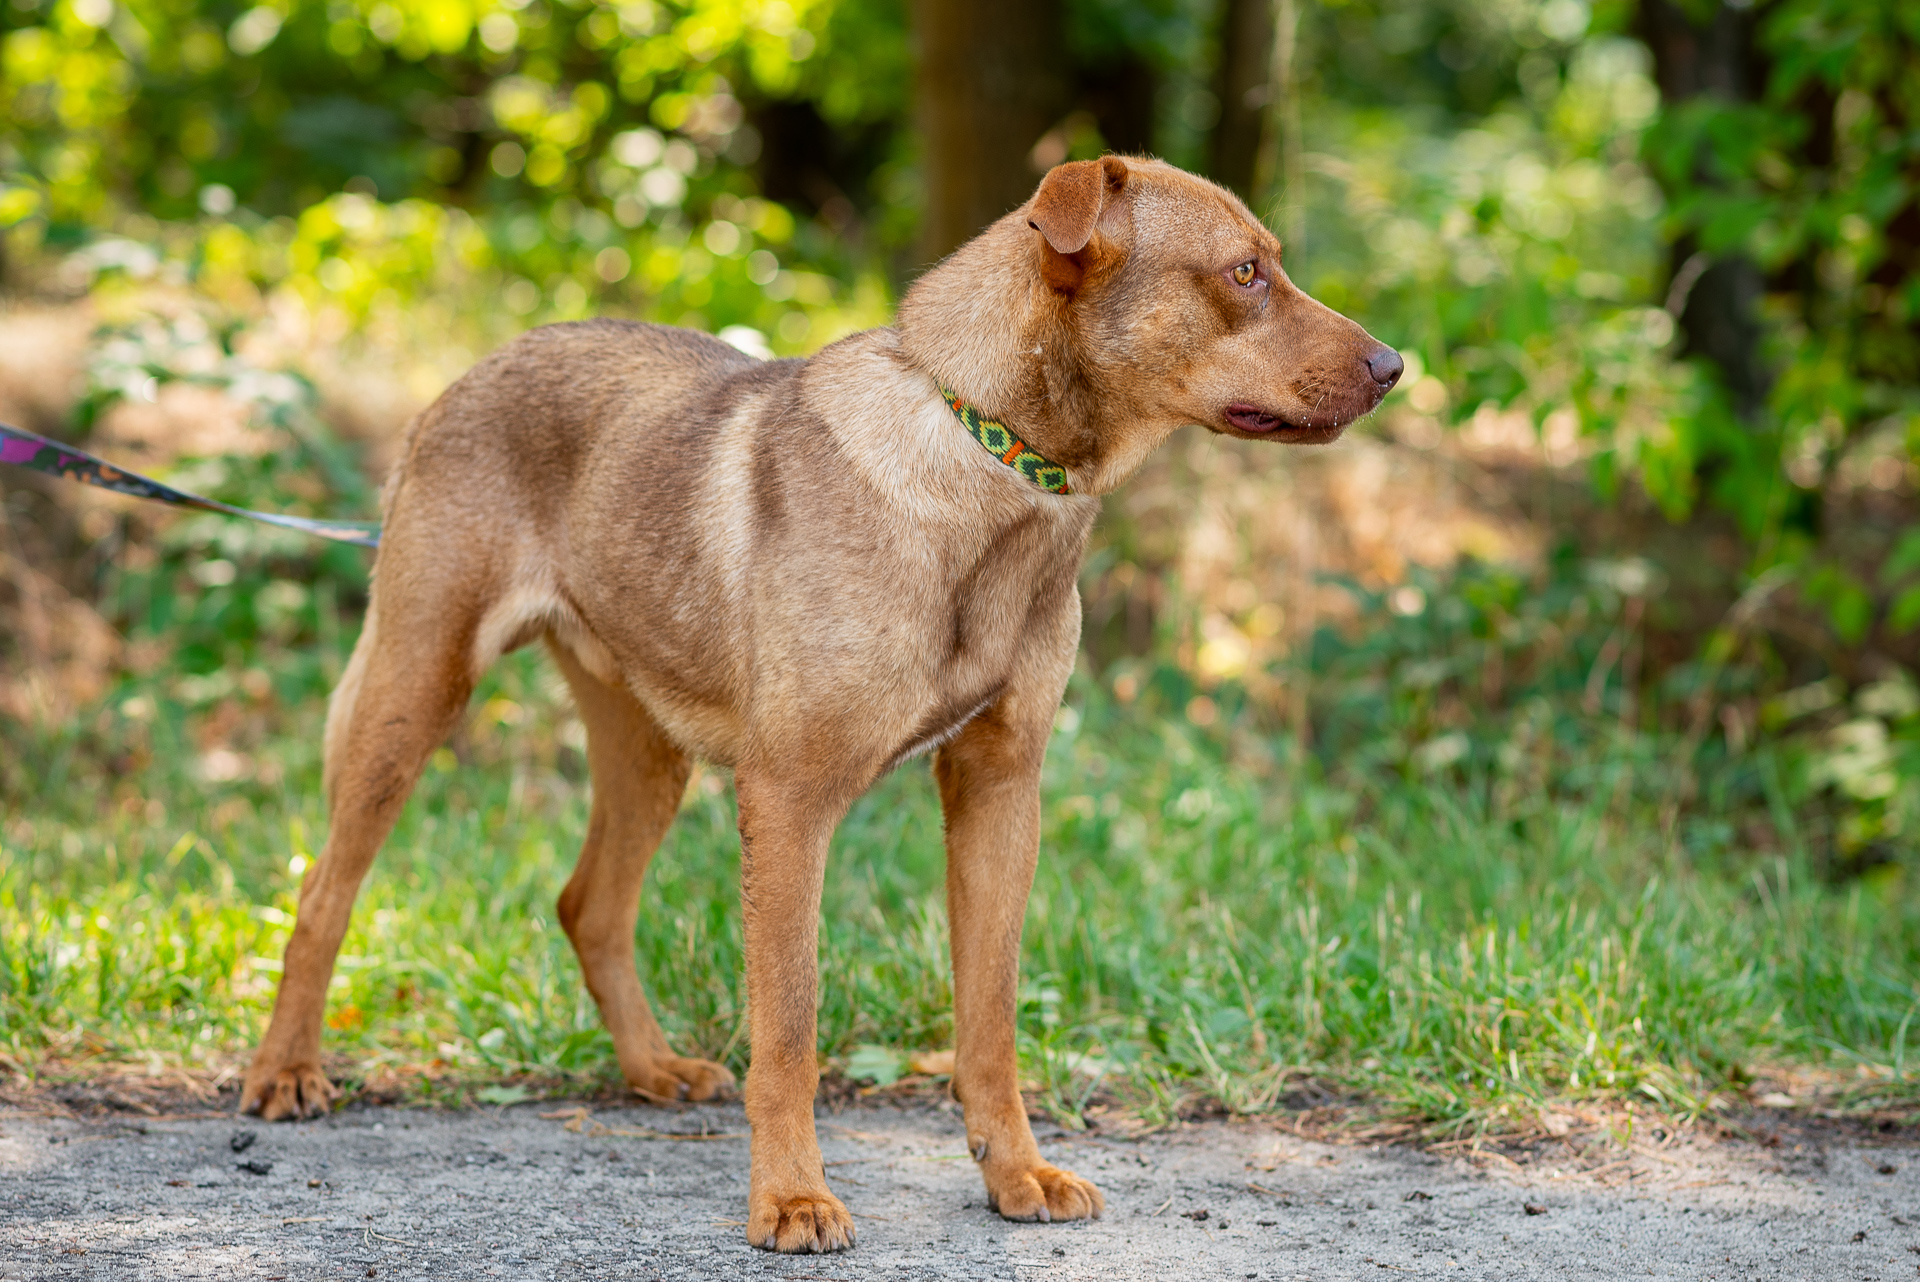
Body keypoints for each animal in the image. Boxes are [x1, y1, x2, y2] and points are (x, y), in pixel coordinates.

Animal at [240, 157, 1397, 1251]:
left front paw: (1014, 1172)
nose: (1395, 367)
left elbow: (990, 1017)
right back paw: (285, 1071)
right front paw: (792, 1198)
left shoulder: (999, 789)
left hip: (647, 747)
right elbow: (789, 1029)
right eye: (1244, 273)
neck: (991, 457)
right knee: (323, 895)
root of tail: (472, 371)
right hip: (413, 689)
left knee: (589, 904)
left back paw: (653, 1067)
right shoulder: (791, 802)